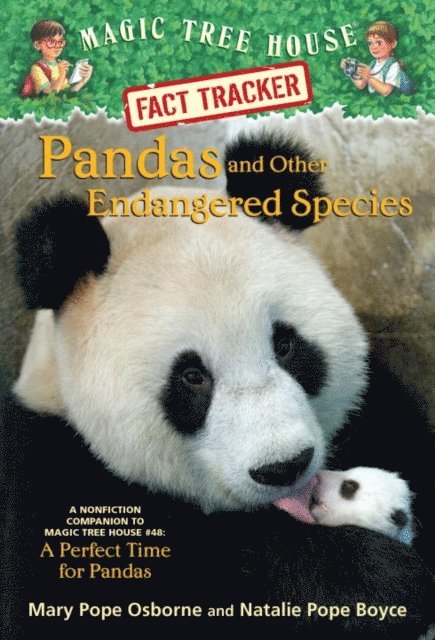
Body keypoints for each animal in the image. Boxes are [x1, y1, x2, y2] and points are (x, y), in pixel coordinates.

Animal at [0, 124, 433, 639]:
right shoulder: (46, 472)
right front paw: (370, 579)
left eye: (284, 345)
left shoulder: (376, 409)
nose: (284, 466)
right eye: (192, 377)